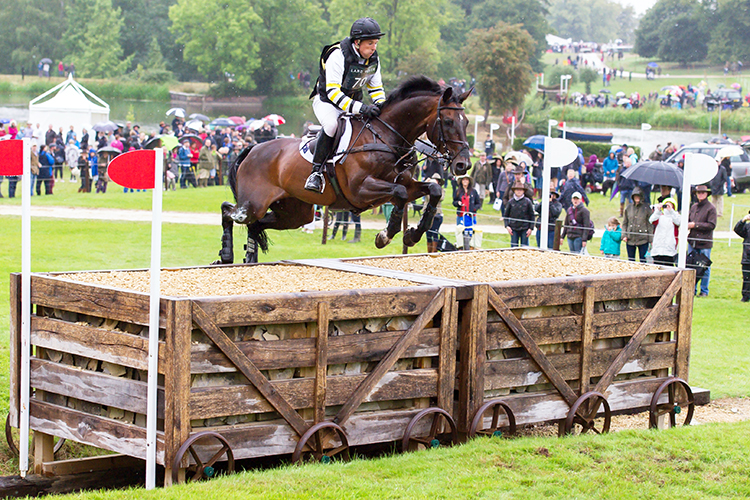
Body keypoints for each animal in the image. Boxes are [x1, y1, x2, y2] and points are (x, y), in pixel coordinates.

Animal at [214, 76, 470, 264]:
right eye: (448, 122)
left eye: (466, 122)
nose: (463, 164)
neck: (386, 137)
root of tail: (253, 148)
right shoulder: (360, 190)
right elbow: (399, 193)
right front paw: (384, 236)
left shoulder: (406, 182)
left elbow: (433, 190)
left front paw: (412, 234)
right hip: (254, 204)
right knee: (229, 210)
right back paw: (226, 256)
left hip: (295, 213)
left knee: (255, 224)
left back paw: (248, 258)